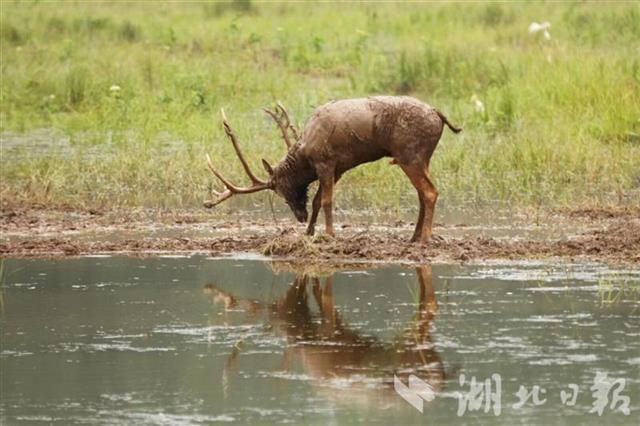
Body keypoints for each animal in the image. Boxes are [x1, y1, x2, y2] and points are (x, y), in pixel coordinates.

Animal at [204, 96, 462, 243]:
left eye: (280, 190)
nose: (299, 217)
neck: (305, 156)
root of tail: (439, 115)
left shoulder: (326, 162)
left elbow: (326, 200)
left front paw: (329, 234)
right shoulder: (338, 169)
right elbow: (318, 200)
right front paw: (309, 232)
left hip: (410, 155)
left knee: (430, 192)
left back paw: (425, 238)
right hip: (422, 158)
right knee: (422, 194)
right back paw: (413, 236)